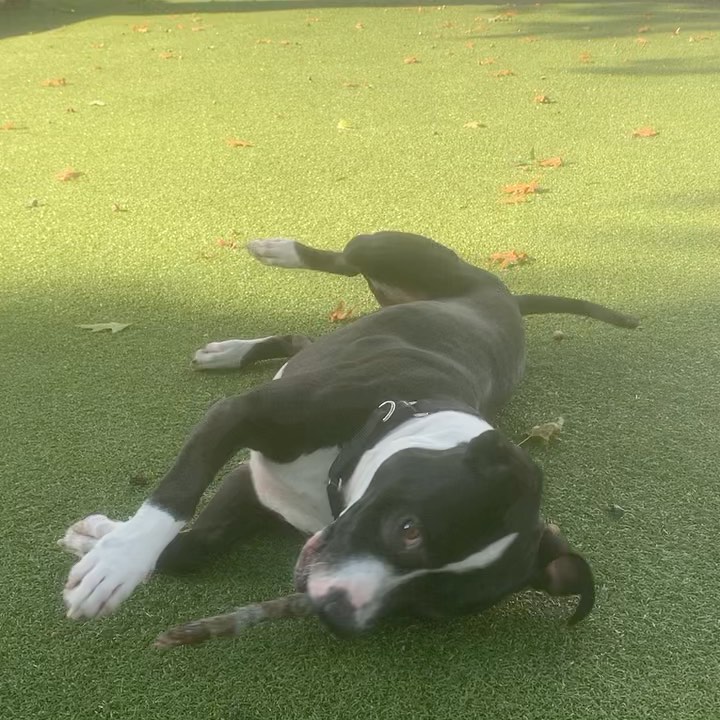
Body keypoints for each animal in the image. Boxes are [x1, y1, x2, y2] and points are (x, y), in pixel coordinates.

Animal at [60, 232, 636, 636]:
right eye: (409, 529)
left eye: (425, 606)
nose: (335, 610)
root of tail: (507, 297)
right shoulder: (240, 420)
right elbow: (175, 497)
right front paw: (117, 560)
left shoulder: (255, 485)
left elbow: (190, 549)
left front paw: (101, 538)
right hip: (385, 248)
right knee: (344, 256)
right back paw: (279, 251)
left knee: (301, 338)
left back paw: (232, 351)